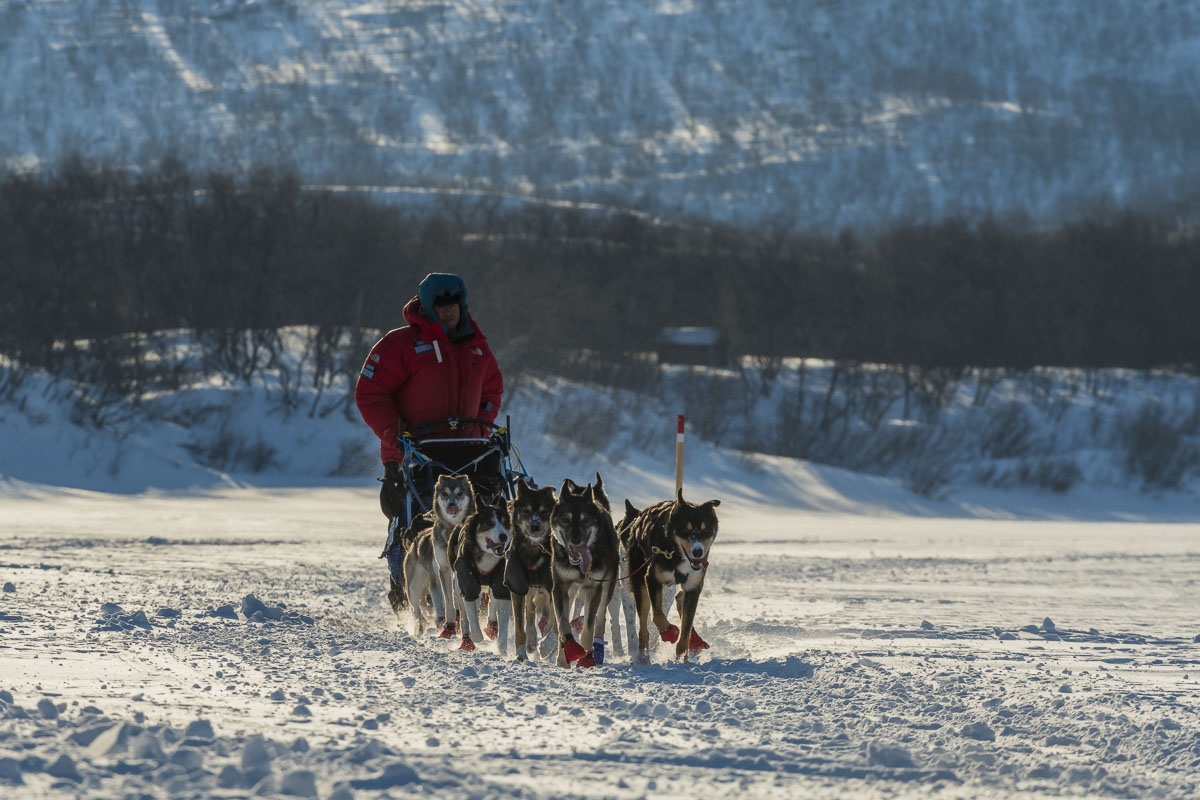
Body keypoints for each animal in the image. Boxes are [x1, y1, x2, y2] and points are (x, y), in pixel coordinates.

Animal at [619, 489, 720, 662]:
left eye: (706, 530)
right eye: (685, 530)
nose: (698, 552)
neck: (676, 554)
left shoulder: (694, 587)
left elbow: (686, 627)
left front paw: (682, 658)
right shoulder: (652, 579)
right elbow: (657, 616)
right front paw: (670, 633)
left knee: (680, 599)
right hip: (640, 584)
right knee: (644, 627)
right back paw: (643, 657)